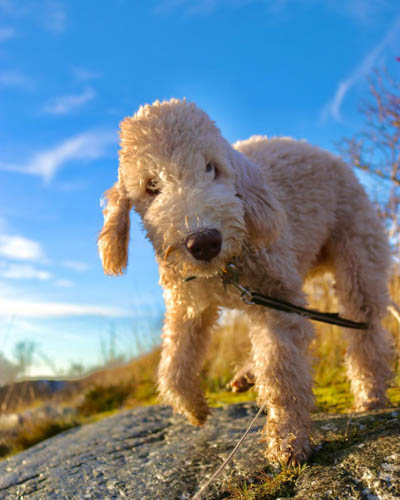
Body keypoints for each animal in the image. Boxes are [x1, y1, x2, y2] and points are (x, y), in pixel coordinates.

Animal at [97, 97, 394, 464]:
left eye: (211, 168)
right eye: (151, 186)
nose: (204, 241)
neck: (226, 269)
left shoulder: (278, 299)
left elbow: (281, 370)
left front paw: (288, 439)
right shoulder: (188, 300)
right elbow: (175, 360)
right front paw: (193, 408)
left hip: (357, 249)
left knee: (366, 329)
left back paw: (370, 393)